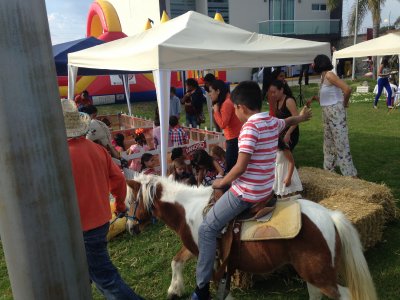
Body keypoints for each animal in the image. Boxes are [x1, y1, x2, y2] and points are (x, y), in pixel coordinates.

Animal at [125, 173, 378, 300]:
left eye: (129, 201)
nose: (130, 228)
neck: (188, 209)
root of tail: (330, 215)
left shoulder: (206, 251)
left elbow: (206, 279)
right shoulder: (196, 246)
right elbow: (176, 261)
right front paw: (174, 289)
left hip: (321, 276)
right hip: (312, 274)